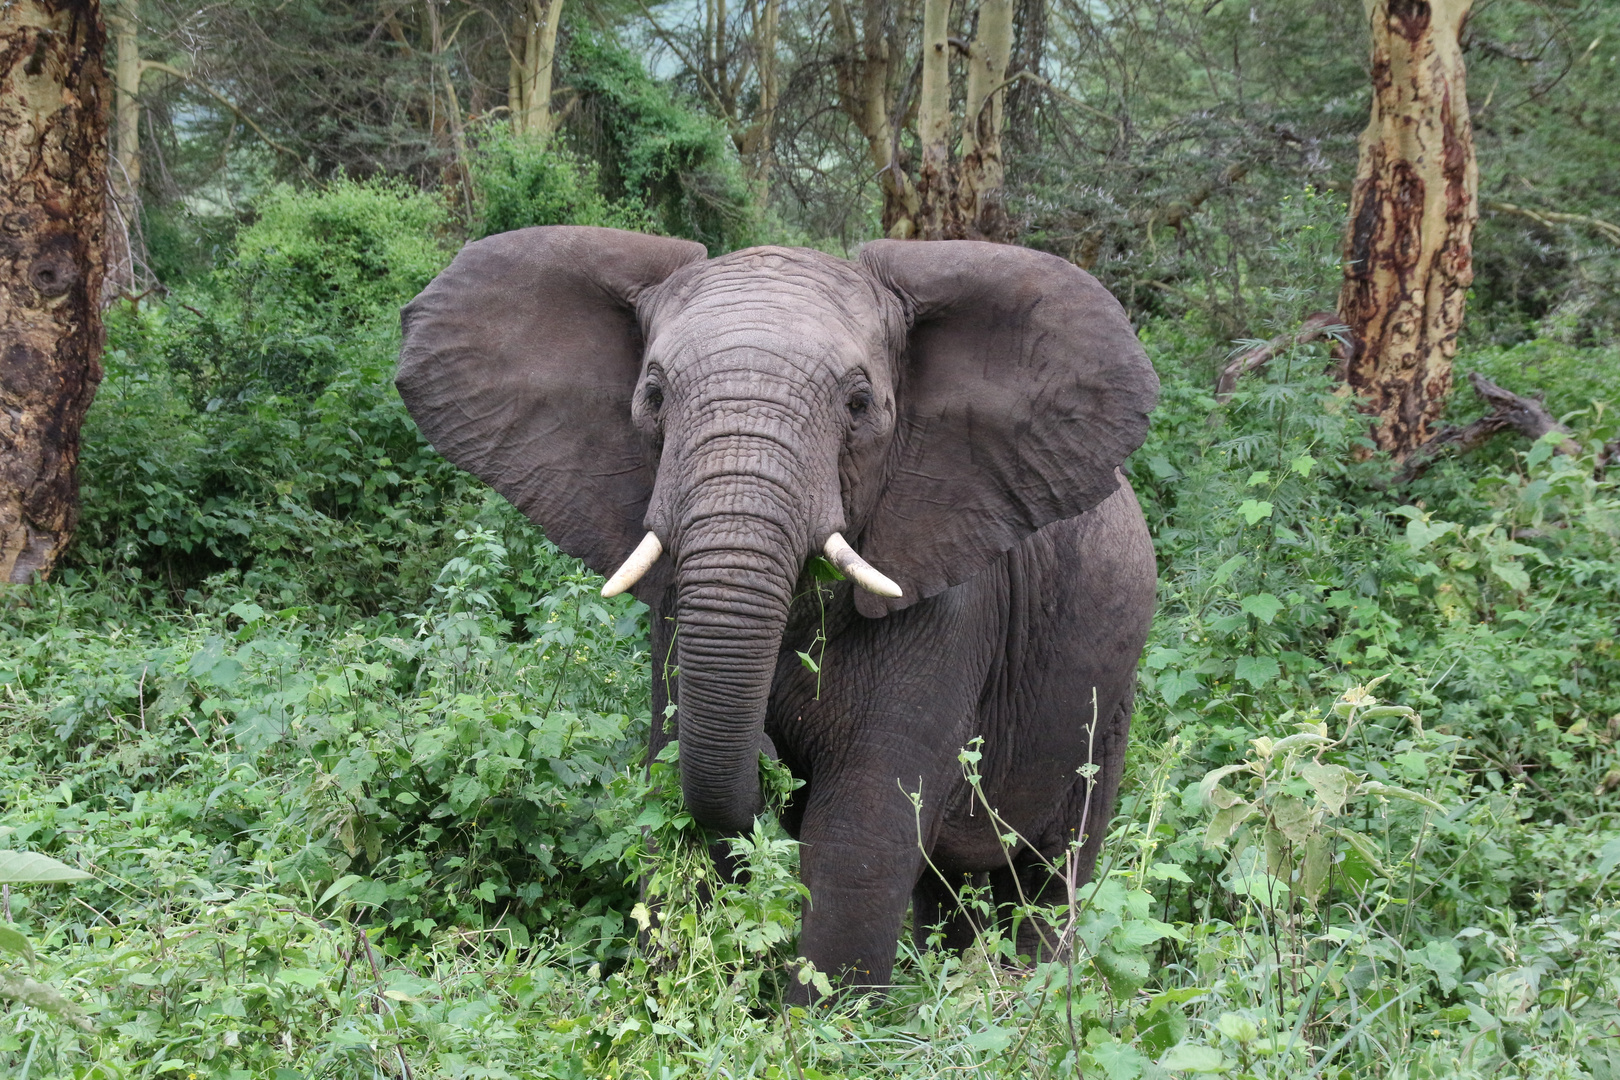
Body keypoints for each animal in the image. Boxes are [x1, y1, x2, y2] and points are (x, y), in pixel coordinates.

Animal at [396, 223, 1159, 1003]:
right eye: (653, 397)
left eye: (859, 405)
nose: (771, 760)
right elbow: (675, 782)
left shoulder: (953, 591)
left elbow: (862, 829)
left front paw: (824, 1022)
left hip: (1109, 696)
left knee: (1052, 865)